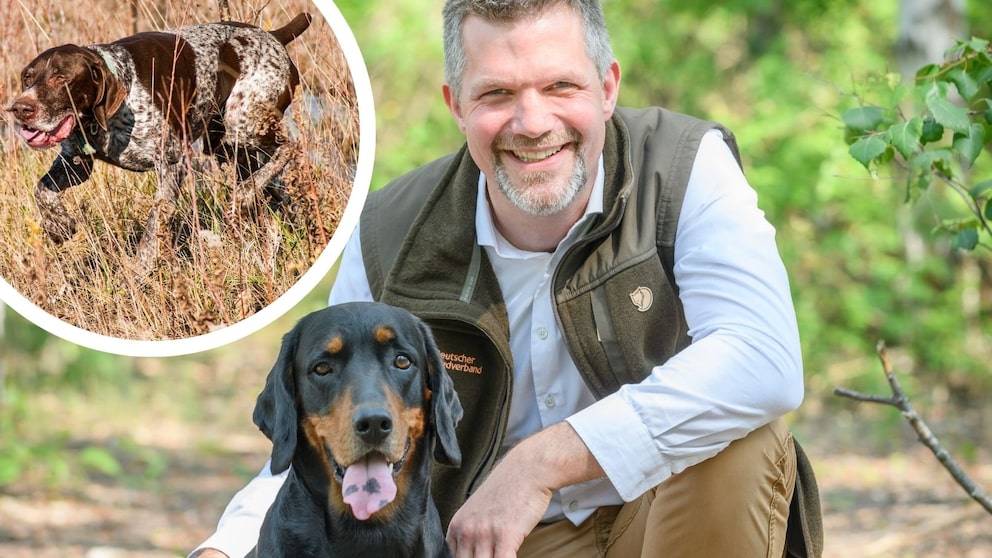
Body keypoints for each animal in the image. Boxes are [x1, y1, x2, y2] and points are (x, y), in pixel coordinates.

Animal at [5, 10, 312, 270]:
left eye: (60, 78)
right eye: (27, 77)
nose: (20, 108)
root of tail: (274, 36)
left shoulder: (172, 163)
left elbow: (155, 224)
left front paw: (140, 270)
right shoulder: (75, 163)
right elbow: (42, 191)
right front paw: (58, 225)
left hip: (242, 125)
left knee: (289, 147)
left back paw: (243, 197)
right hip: (226, 147)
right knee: (268, 191)